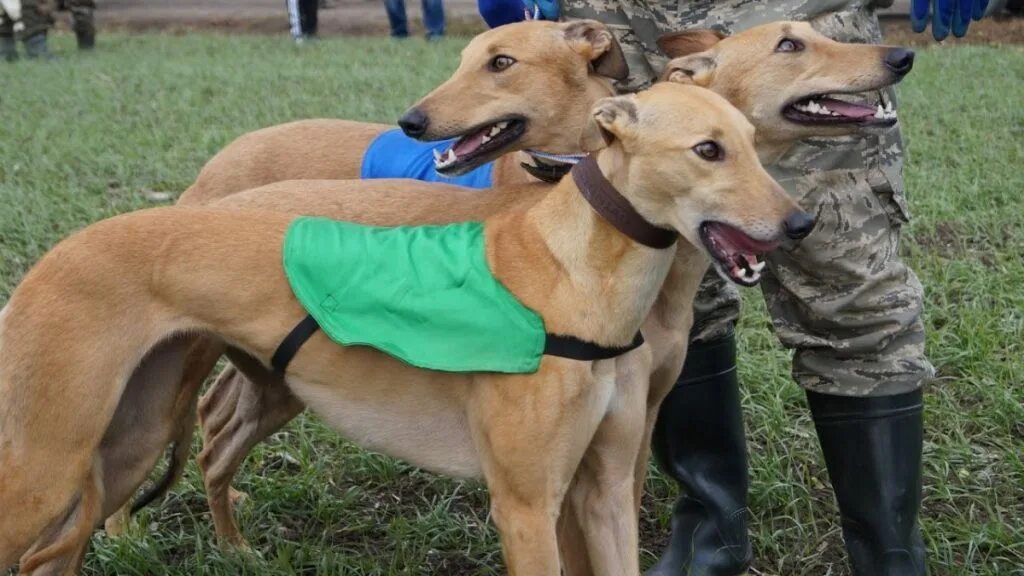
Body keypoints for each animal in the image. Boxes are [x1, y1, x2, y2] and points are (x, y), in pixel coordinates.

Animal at [0, 84, 806, 573]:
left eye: (752, 140)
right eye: (707, 149)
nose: (802, 224)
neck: (577, 276)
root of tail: (56, 256)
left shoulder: (605, 490)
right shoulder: (527, 507)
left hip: (132, 441)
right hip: (46, 469)